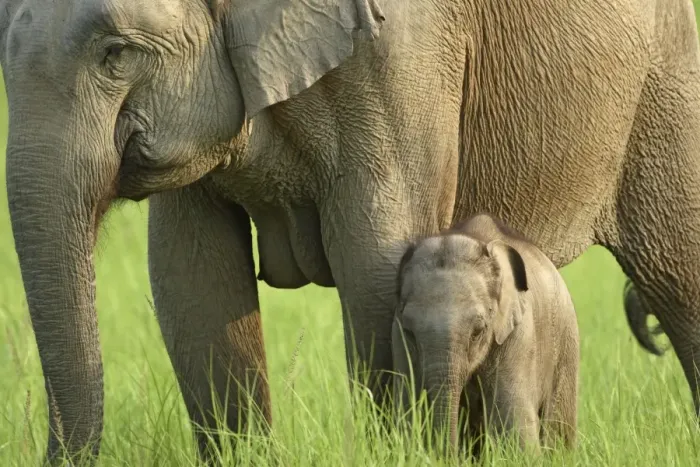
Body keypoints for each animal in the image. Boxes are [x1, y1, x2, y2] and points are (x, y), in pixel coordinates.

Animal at [391, 213, 579, 453]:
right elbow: (406, 406)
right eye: (410, 332)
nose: (449, 455)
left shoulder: (520, 334)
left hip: (566, 343)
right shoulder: (397, 334)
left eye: (478, 332)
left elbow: (514, 425)